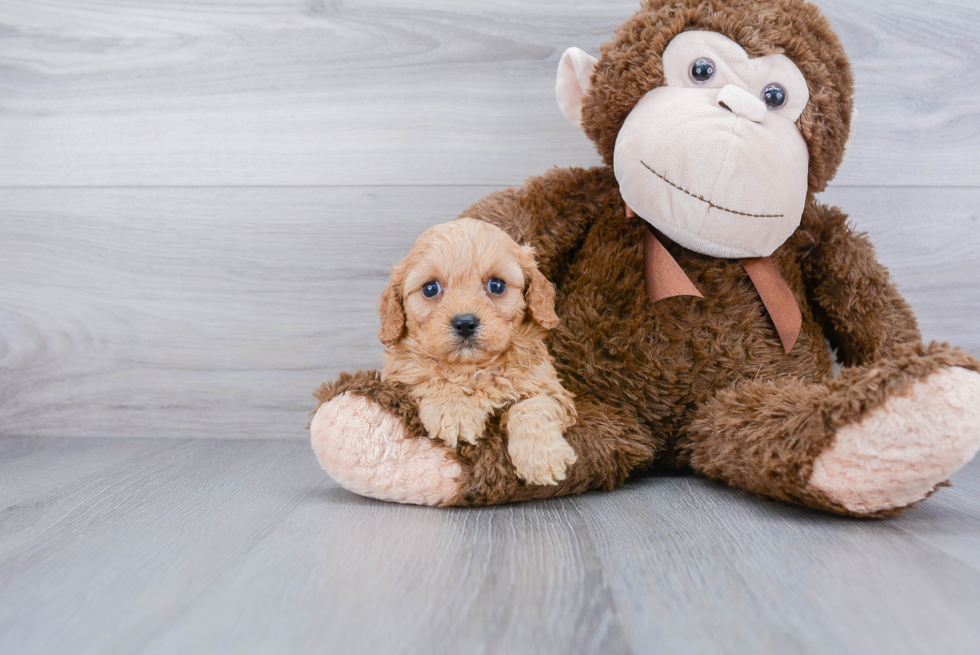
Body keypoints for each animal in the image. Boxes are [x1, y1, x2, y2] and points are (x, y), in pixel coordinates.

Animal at [378, 218, 580, 484]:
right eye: (430, 288)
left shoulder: (548, 388)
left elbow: (533, 407)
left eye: (497, 285)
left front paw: (542, 456)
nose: (465, 323)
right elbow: (433, 377)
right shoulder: (401, 376)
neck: (473, 369)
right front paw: (454, 410)